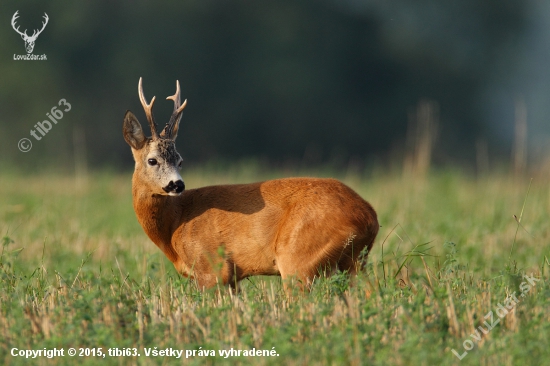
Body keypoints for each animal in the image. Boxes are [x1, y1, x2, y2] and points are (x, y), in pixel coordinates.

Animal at [124, 78, 380, 290]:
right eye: (152, 160)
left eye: (180, 160)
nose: (177, 185)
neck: (176, 224)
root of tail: (368, 215)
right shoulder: (231, 278)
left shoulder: (212, 268)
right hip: (355, 261)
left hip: (298, 259)